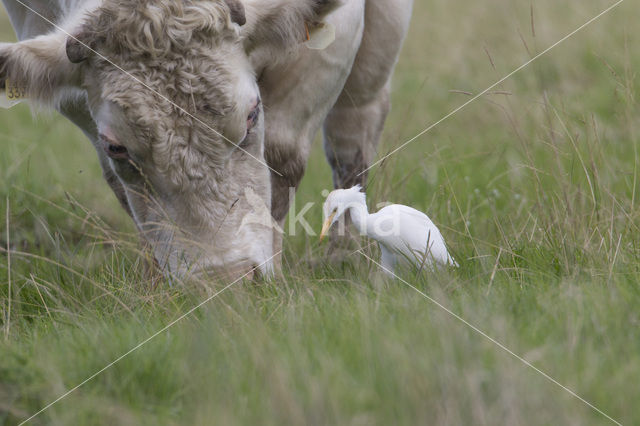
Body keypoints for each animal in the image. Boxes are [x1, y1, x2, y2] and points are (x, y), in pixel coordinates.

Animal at [0, 0, 416, 278]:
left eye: (251, 115)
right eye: (116, 147)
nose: (226, 279)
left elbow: (281, 162)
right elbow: (125, 192)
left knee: (355, 125)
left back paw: (343, 254)